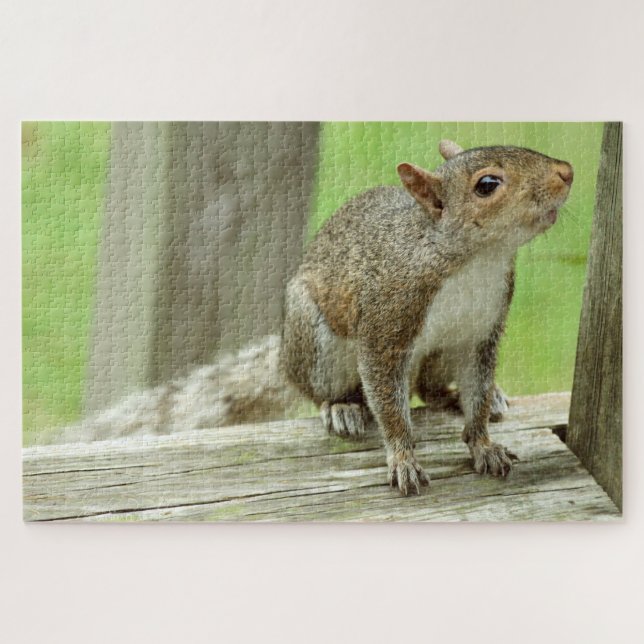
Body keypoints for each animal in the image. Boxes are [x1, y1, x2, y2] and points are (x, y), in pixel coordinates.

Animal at [55, 139, 573, 499]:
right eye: (487, 185)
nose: (566, 172)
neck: (474, 260)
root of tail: (286, 353)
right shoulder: (384, 323)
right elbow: (388, 400)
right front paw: (403, 458)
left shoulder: (480, 333)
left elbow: (477, 388)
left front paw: (483, 442)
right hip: (321, 344)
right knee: (327, 388)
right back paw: (341, 407)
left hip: (440, 353)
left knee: (429, 387)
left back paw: (466, 398)